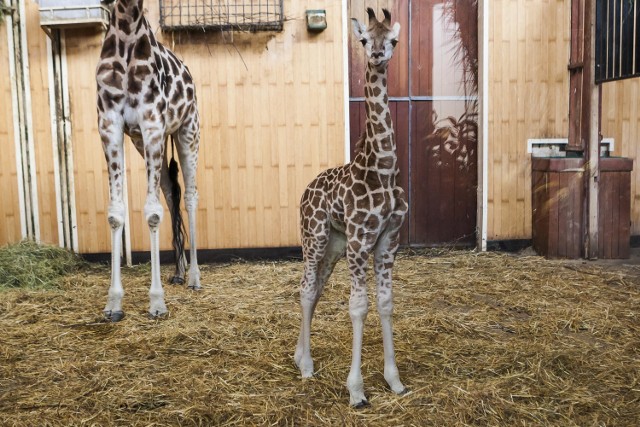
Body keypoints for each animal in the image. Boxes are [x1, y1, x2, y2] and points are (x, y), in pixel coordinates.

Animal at [95, 0, 199, 320]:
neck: (127, 34)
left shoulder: (152, 122)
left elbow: (152, 212)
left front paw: (156, 302)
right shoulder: (110, 125)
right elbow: (115, 213)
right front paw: (113, 303)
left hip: (187, 130)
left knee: (190, 195)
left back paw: (194, 277)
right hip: (147, 142)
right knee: (171, 190)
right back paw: (179, 272)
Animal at [296, 7, 410, 408]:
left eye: (393, 40)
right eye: (363, 39)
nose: (376, 55)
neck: (384, 169)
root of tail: (306, 189)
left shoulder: (388, 241)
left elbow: (386, 303)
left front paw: (394, 380)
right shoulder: (362, 241)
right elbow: (358, 307)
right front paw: (357, 390)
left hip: (334, 244)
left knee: (315, 289)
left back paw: (300, 357)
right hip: (314, 238)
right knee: (305, 288)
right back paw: (306, 365)